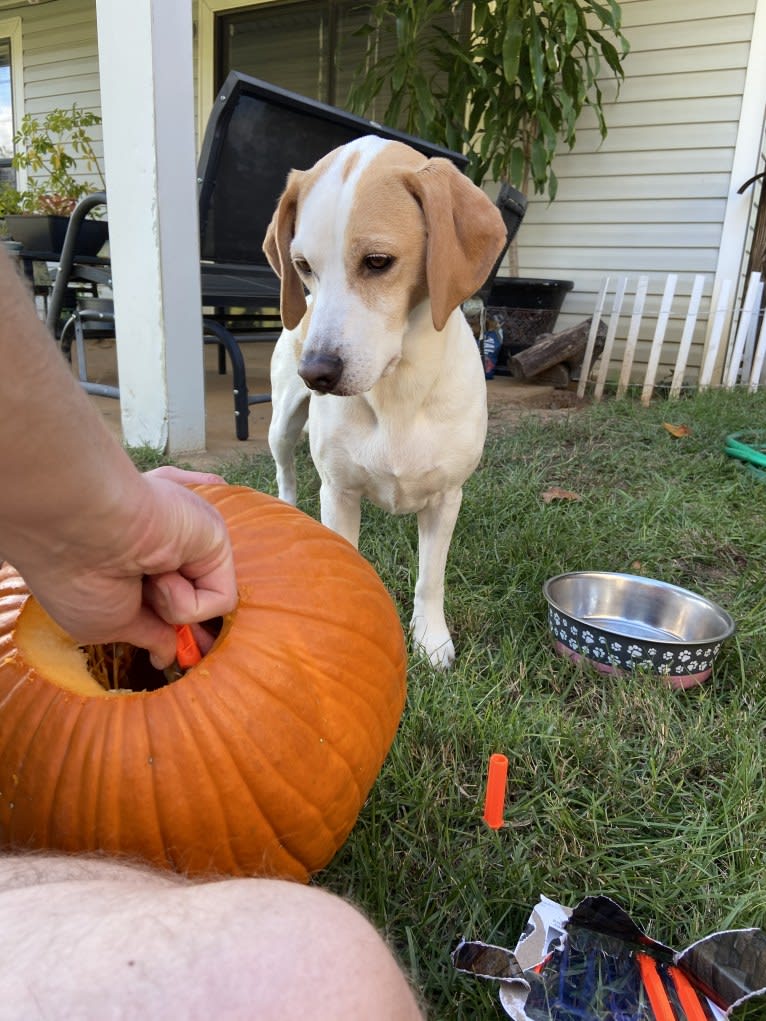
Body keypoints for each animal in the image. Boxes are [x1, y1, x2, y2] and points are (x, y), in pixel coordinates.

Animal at [265, 135, 510, 669]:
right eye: (303, 266)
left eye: (377, 262)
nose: (315, 371)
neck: (398, 390)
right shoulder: (337, 493)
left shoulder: (446, 499)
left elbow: (430, 578)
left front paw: (431, 639)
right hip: (281, 426)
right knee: (285, 473)